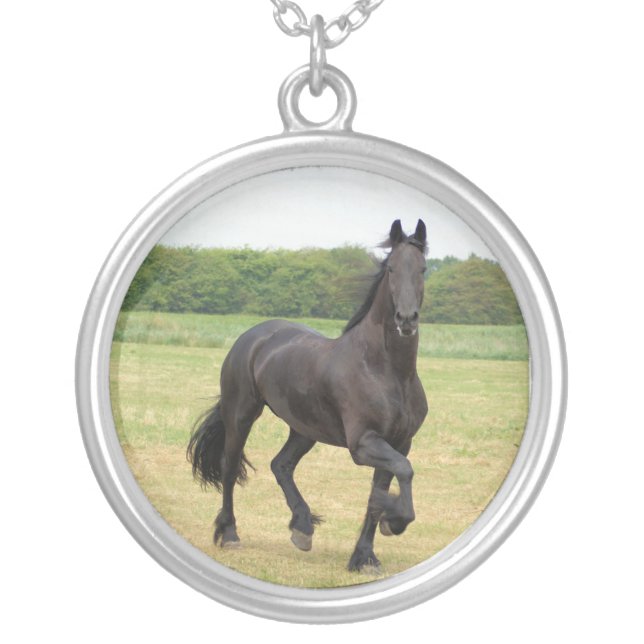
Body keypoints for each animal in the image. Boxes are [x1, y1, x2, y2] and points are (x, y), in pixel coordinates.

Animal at [187, 219, 429, 572]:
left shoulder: (399, 442)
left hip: (304, 428)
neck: (387, 372)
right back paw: (230, 533)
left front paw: (365, 556)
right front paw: (394, 521)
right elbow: (405, 471)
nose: (407, 319)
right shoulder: (363, 444)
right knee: (230, 467)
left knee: (281, 465)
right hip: (242, 414)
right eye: (391, 269)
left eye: (423, 269)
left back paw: (302, 528)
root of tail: (253, 336)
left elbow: (379, 492)